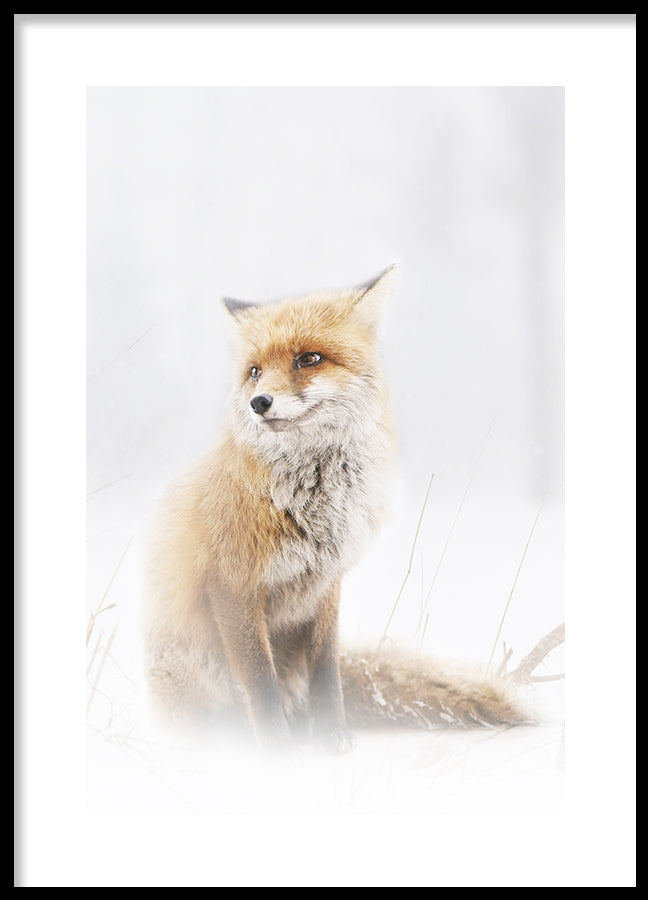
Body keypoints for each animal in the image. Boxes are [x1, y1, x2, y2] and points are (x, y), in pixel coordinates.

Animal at [143, 265, 526, 753]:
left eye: (309, 359)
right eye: (255, 371)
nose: (258, 403)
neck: (314, 506)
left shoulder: (327, 583)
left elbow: (326, 669)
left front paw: (332, 737)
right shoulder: (232, 584)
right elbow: (260, 680)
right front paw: (278, 752)